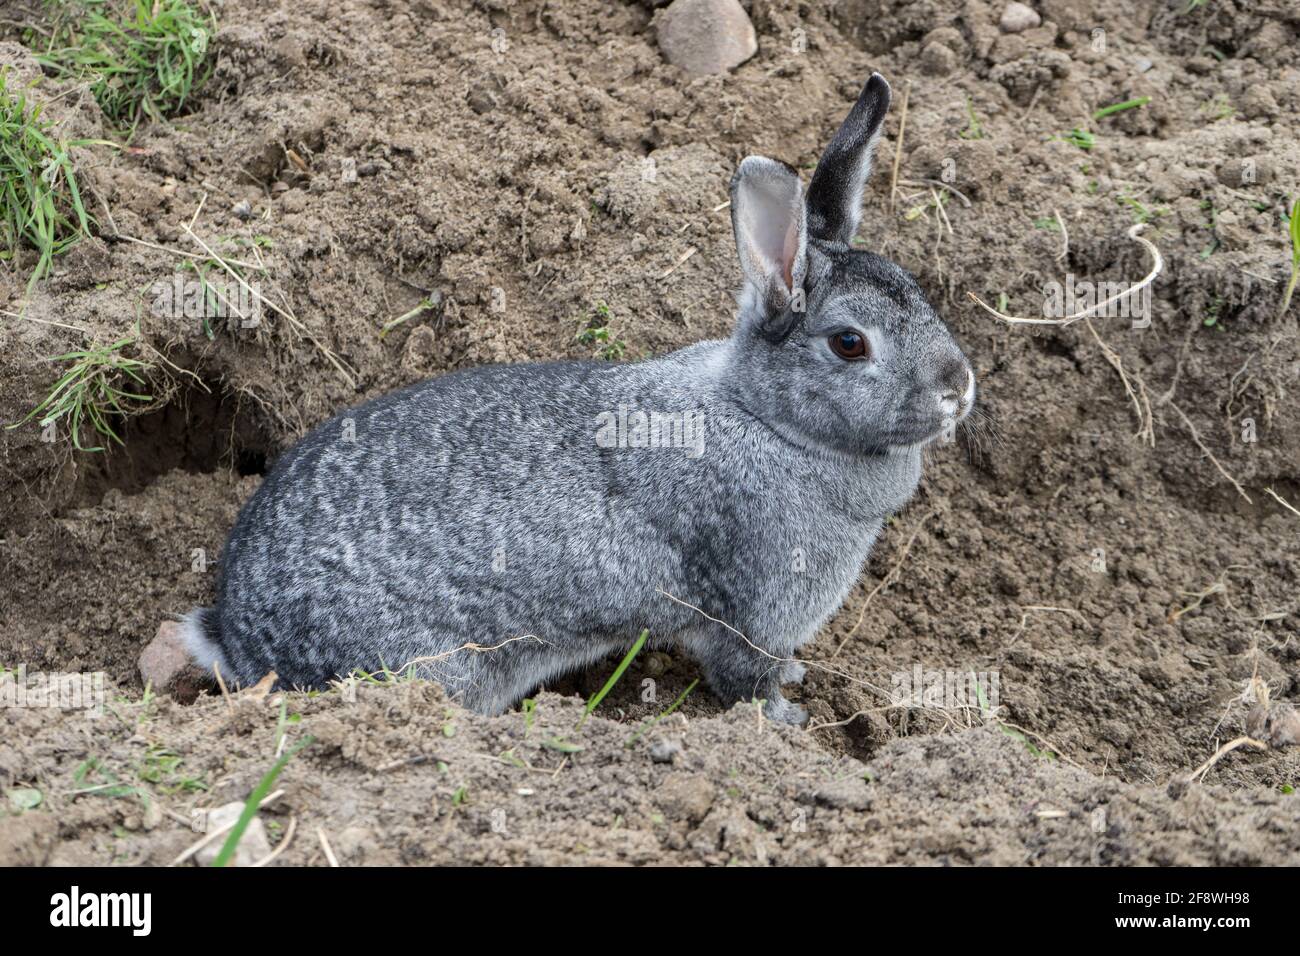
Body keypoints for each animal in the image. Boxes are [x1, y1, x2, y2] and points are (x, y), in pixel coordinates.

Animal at [179, 72, 974, 725]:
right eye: (849, 344)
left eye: (918, 292)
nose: (957, 389)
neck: (767, 417)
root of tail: (241, 639)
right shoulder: (749, 613)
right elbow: (744, 679)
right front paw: (788, 720)